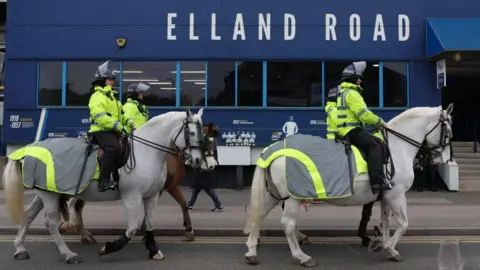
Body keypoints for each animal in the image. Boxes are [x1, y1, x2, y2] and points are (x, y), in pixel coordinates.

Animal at [58, 122, 221, 243]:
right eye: (204, 140)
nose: (211, 166)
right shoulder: (161, 188)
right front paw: (145, 231)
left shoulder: (170, 186)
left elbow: (183, 203)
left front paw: (189, 230)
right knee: (72, 204)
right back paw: (71, 227)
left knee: (77, 207)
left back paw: (83, 234)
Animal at [244, 104, 454, 266]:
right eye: (448, 132)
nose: (442, 159)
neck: (396, 147)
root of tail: (274, 149)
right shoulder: (397, 194)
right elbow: (403, 224)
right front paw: (387, 247)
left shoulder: (386, 196)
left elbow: (386, 222)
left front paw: (388, 248)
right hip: (294, 197)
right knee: (287, 224)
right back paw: (302, 257)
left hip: (276, 193)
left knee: (259, 214)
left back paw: (252, 251)